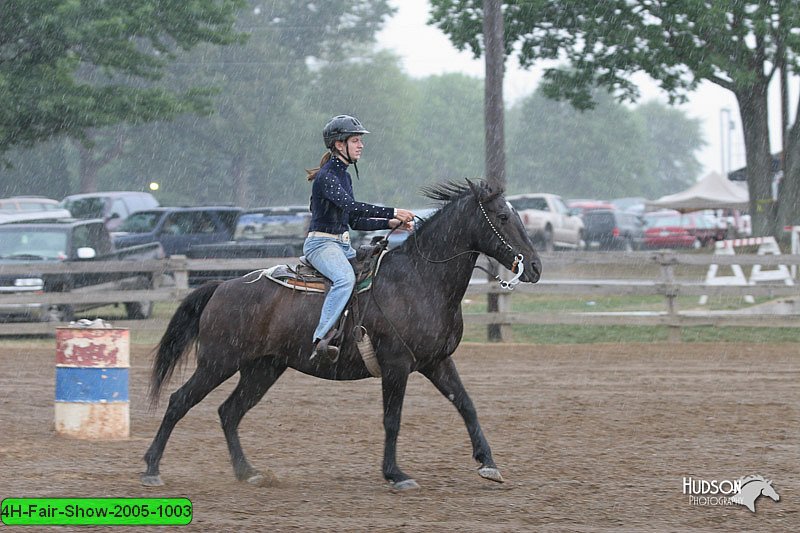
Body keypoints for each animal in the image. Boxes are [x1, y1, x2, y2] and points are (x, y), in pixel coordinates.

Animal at [144, 180, 544, 490]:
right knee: (180, 401)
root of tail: (222, 286)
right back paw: (151, 469)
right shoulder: (396, 364)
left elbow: (466, 405)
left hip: (263, 369)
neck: (419, 279)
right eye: (503, 216)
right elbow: (392, 419)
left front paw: (488, 464)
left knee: (229, 412)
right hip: (218, 363)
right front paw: (396, 474)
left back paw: (248, 472)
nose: (536, 267)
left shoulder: (436, 362)